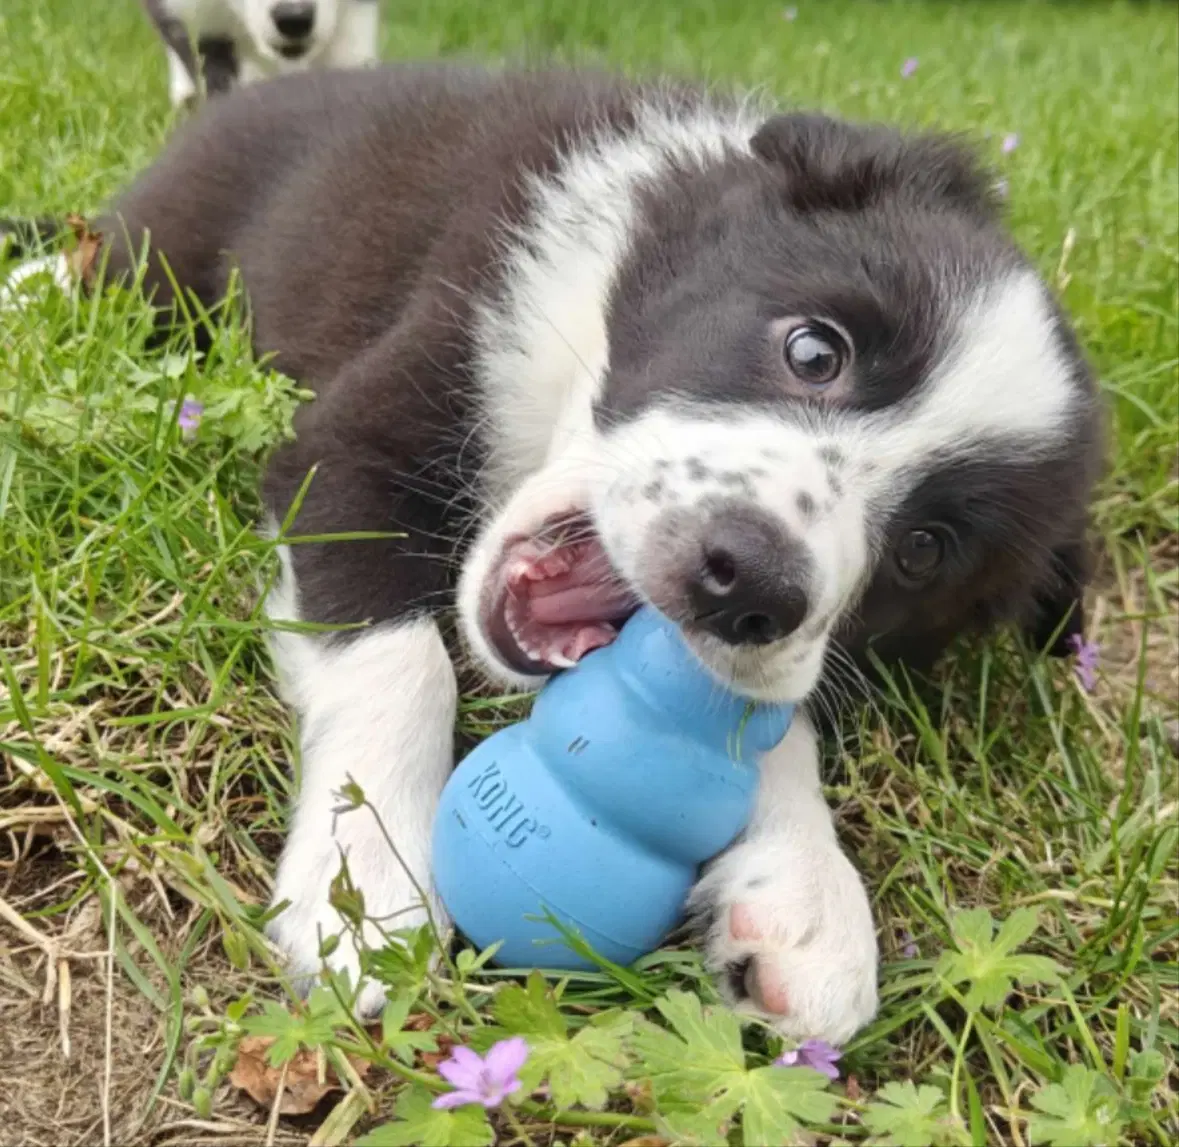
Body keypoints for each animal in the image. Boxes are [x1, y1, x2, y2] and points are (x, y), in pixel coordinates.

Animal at [64, 67, 1098, 1042]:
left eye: (924, 551)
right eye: (814, 351)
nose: (750, 581)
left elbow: (764, 719)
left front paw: (805, 889)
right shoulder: (351, 437)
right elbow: (403, 661)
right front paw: (364, 890)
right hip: (160, 252)